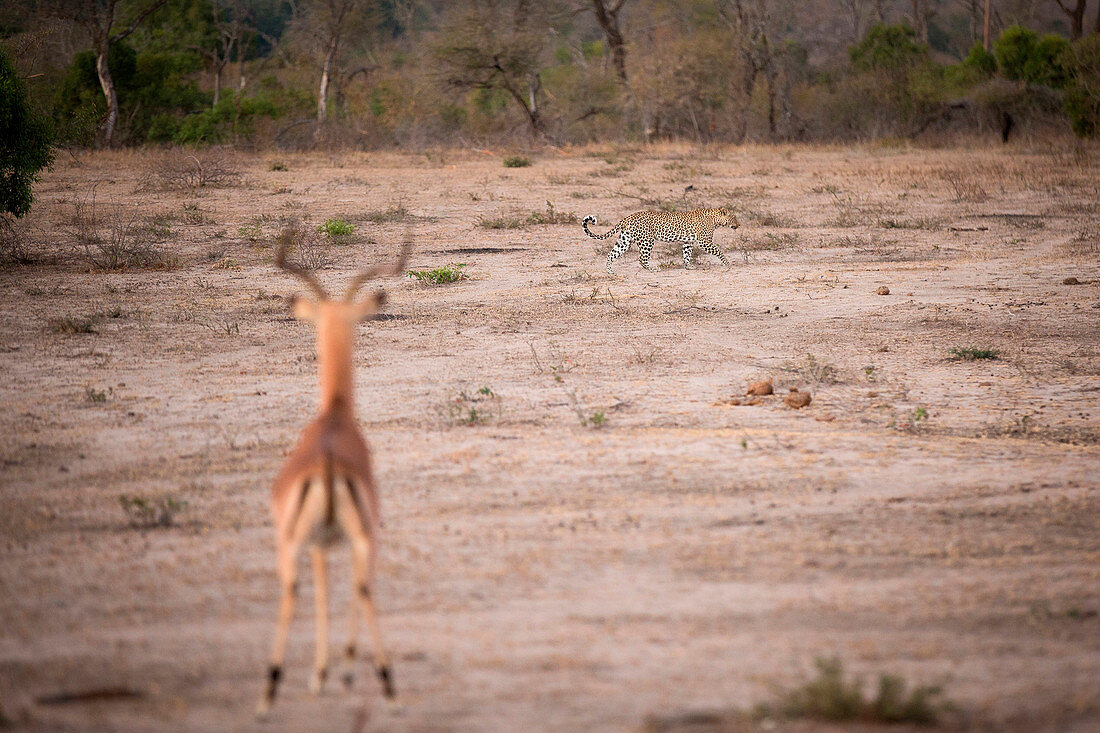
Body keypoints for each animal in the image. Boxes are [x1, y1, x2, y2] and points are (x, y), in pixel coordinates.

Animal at [585, 205, 739, 274]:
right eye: (733, 218)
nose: (738, 225)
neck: (715, 219)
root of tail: (628, 217)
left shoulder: (688, 242)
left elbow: (686, 254)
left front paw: (688, 266)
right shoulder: (704, 242)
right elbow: (719, 251)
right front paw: (728, 264)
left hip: (625, 240)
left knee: (611, 253)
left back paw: (610, 271)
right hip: (647, 240)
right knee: (642, 258)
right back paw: (653, 269)